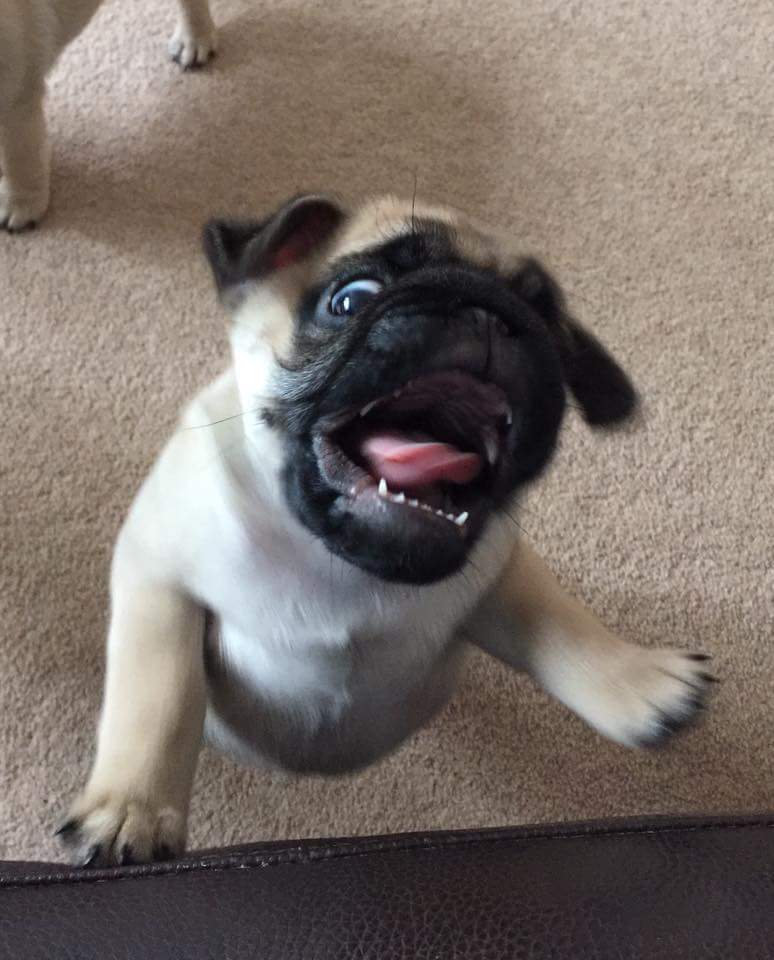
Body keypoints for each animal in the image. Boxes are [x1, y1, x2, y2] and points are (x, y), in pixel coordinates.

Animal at [57, 191, 720, 868]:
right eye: (350, 299)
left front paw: (637, 682)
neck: (336, 561)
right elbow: (159, 693)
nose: (485, 307)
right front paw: (131, 810)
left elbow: (557, 622)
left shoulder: (499, 572)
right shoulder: (157, 579)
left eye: (548, 322)